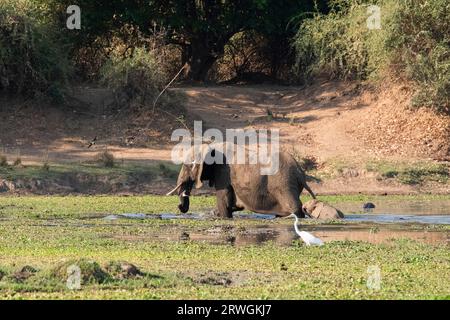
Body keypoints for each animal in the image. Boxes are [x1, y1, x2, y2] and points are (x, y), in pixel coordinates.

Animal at [166, 144, 316, 219]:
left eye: (187, 166)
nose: (179, 207)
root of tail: (300, 172)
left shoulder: (223, 171)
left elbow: (223, 200)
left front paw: (223, 216)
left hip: (284, 184)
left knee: (295, 207)